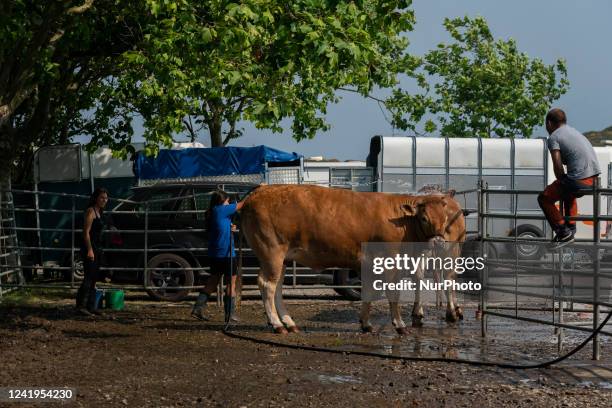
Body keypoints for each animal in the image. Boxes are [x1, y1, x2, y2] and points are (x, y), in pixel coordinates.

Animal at [239, 185, 460, 334]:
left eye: (445, 219)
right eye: (424, 218)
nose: (440, 242)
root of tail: (256, 194)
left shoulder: (370, 265)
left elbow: (369, 293)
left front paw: (366, 324)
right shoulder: (390, 262)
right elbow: (392, 295)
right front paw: (399, 325)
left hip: (282, 257)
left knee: (277, 287)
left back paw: (289, 323)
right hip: (272, 252)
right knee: (267, 284)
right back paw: (277, 324)